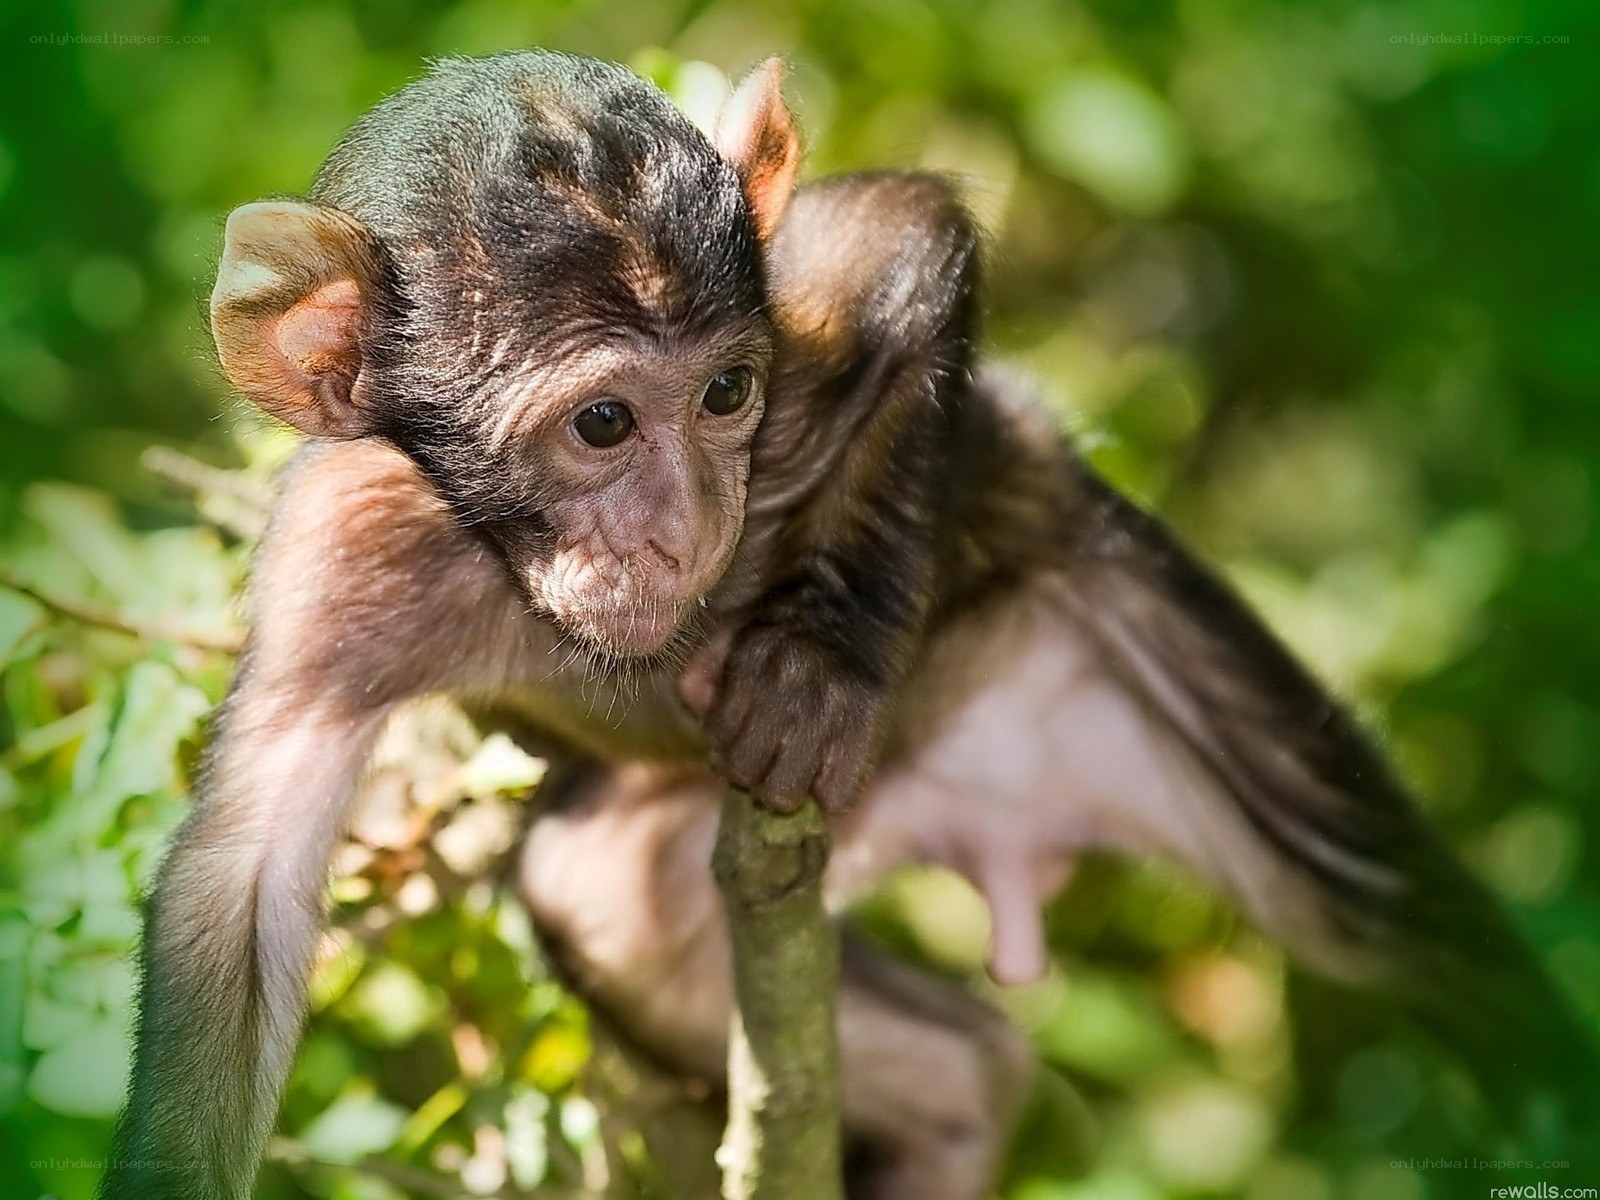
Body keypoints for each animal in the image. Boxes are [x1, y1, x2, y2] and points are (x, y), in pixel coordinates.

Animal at [99, 48, 1598, 1200]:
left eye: (724, 394)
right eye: (601, 423)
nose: (685, 527)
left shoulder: (791, 331)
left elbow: (901, 228)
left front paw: (822, 655)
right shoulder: (339, 559)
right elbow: (235, 896)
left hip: (1097, 602)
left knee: (1406, 930)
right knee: (631, 912)